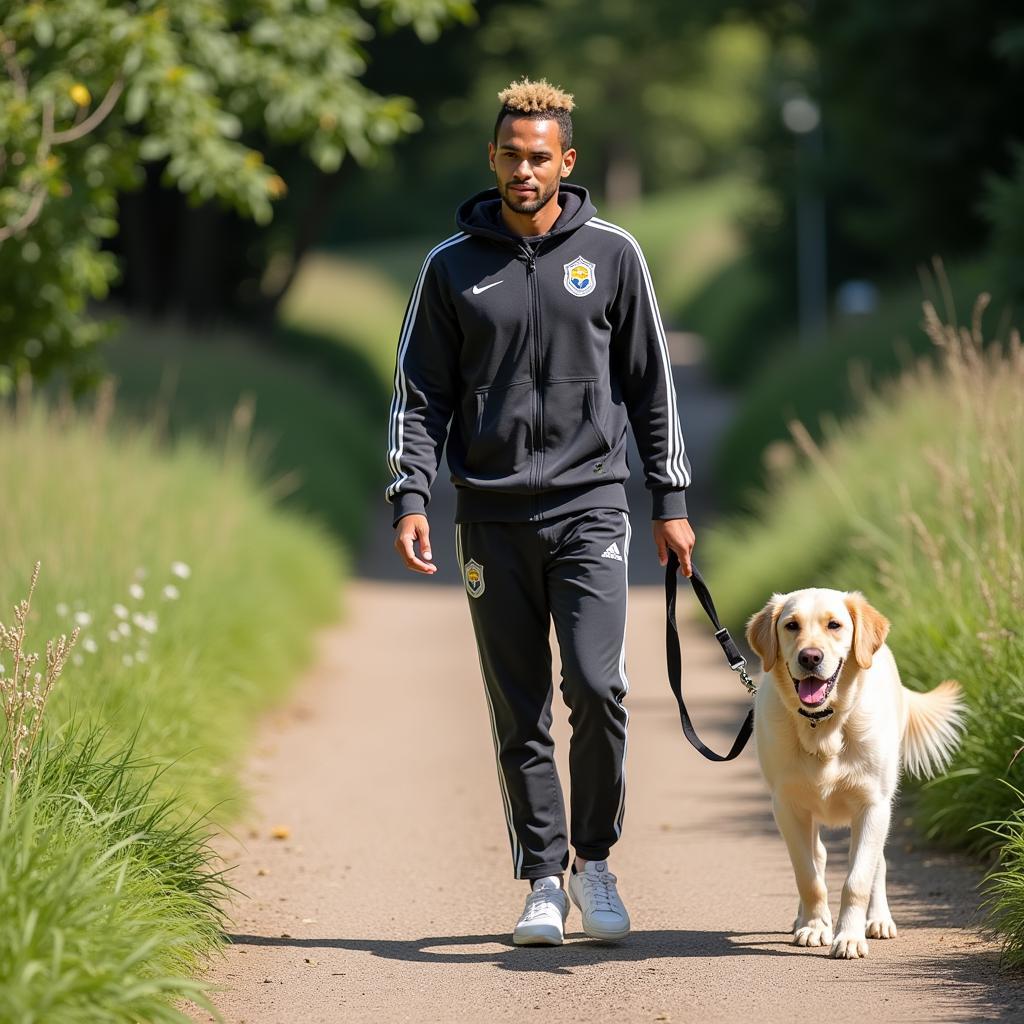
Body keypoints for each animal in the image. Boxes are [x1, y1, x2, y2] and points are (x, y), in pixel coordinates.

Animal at [745, 593, 958, 958]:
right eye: (791, 625)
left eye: (835, 625)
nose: (810, 657)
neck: (822, 724)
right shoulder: (786, 807)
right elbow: (808, 876)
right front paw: (816, 927)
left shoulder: (873, 805)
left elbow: (857, 880)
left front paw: (849, 937)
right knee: (817, 856)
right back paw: (805, 920)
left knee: (878, 864)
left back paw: (879, 920)